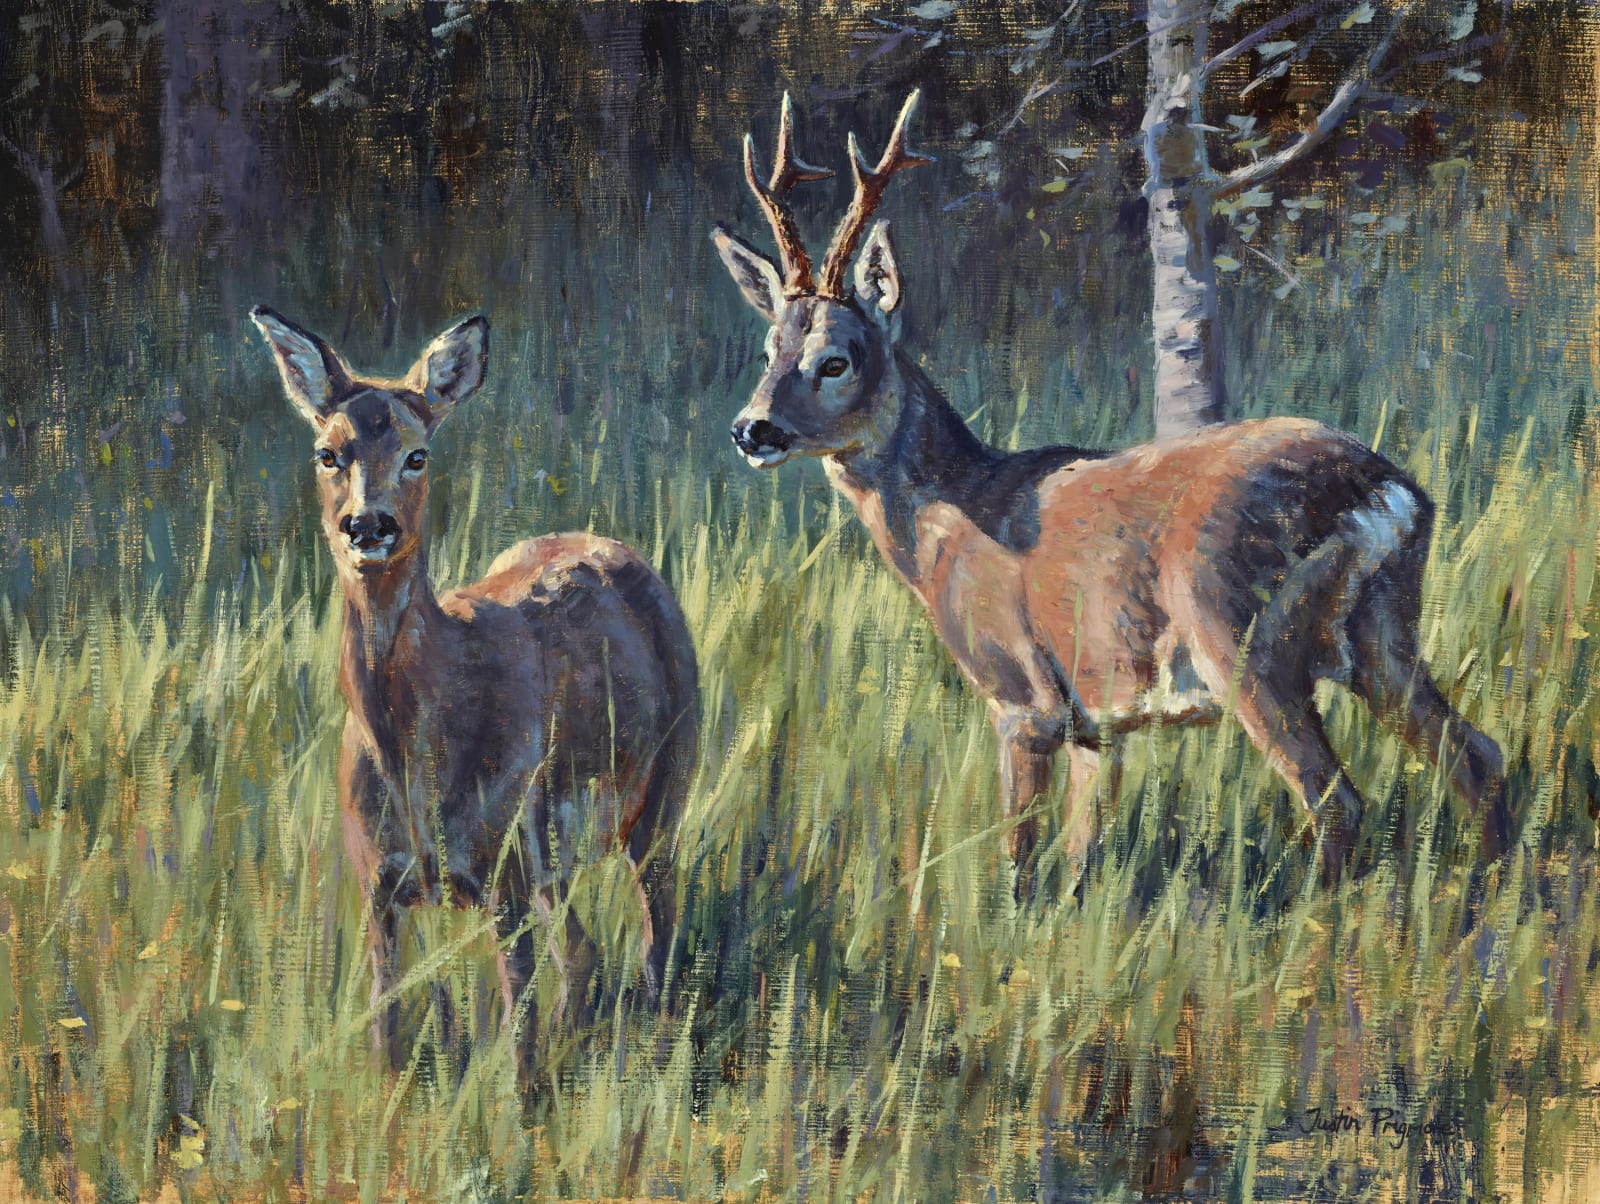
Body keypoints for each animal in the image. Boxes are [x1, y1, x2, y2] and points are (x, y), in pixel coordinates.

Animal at [251, 306, 699, 1065]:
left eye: (417, 454)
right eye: (327, 453)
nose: (367, 525)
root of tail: (617, 548)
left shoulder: (501, 878)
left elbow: (518, 1045)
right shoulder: (378, 885)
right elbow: (388, 1028)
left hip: (662, 793)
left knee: (654, 937)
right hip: (551, 855)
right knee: (583, 953)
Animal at [710, 92, 1515, 889]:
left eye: (835, 360)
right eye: (769, 347)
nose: (752, 429)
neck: (950, 521)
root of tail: (1388, 493)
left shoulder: (1023, 701)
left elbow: (1018, 860)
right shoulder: (1098, 723)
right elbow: (1080, 859)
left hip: (1246, 638)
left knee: (1336, 798)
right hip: (1381, 633)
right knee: (1478, 755)